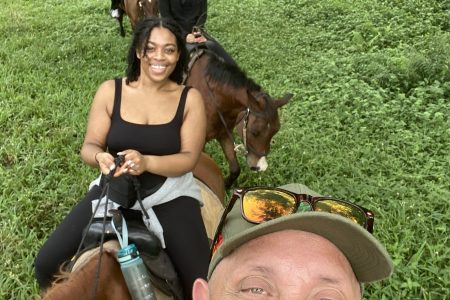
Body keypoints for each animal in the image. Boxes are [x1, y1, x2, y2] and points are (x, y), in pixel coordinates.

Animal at [185, 50, 294, 189]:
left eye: (275, 131)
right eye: (254, 132)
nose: (260, 167)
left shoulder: (224, 134)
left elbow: (235, 169)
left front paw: (225, 186)